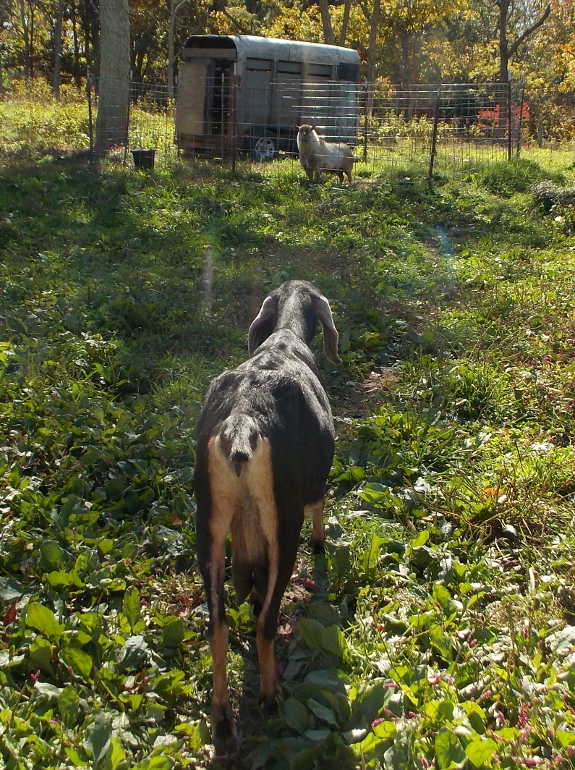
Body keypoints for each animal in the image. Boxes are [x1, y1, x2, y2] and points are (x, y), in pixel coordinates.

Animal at [196, 280, 340, 752]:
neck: (285, 341)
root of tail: (243, 421)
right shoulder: (315, 482)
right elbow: (320, 506)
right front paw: (322, 543)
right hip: (283, 527)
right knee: (265, 623)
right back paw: (271, 694)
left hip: (208, 527)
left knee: (218, 626)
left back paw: (223, 718)